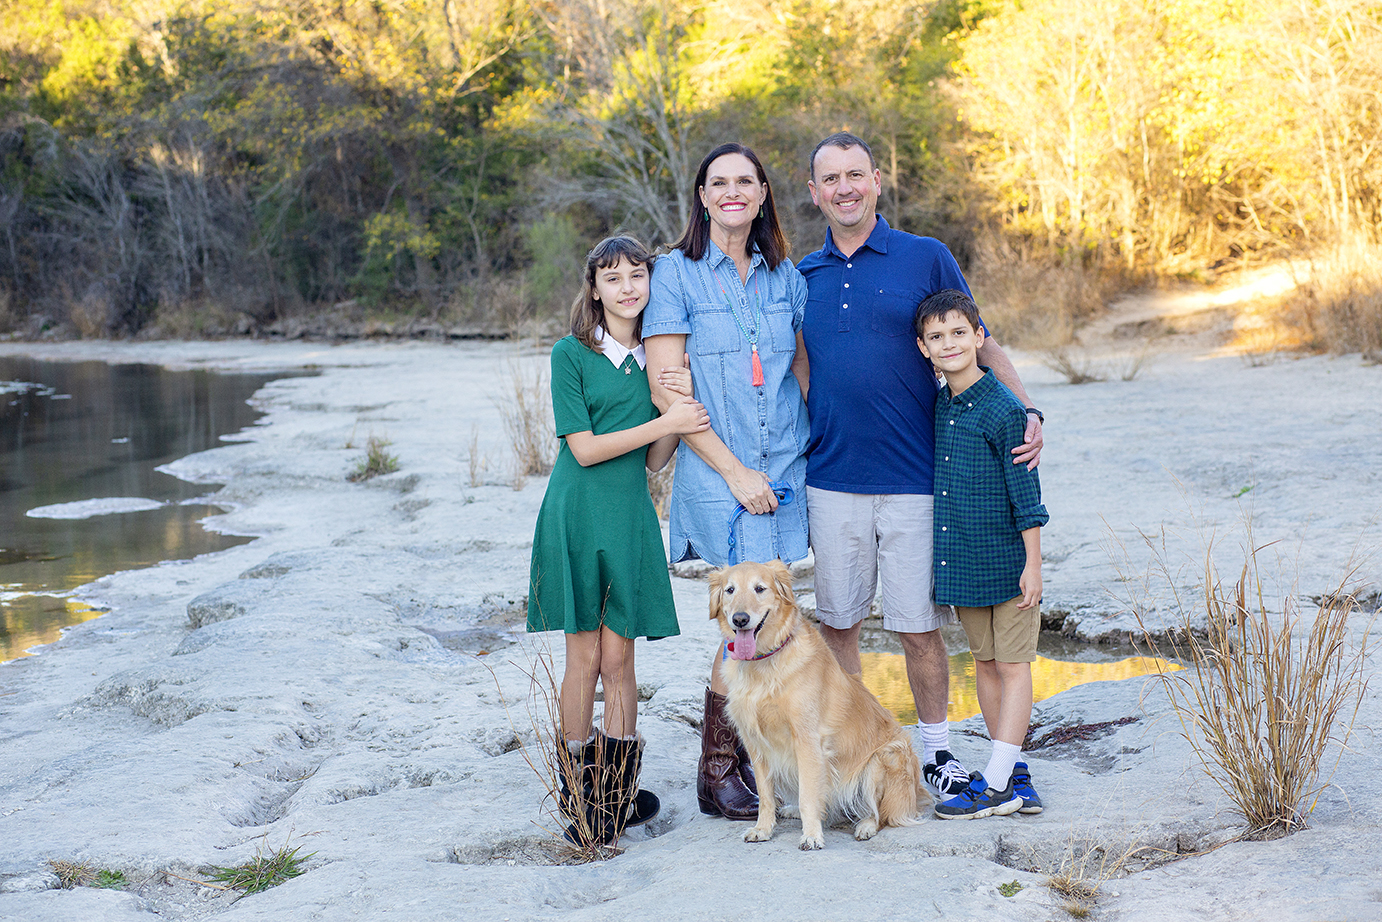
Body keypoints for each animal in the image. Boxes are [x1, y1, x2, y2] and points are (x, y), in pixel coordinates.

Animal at [707, 558, 923, 845]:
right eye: (730, 590)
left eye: (760, 588)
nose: (740, 619)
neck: (765, 660)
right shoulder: (756, 744)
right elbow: (765, 795)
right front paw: (763, 829)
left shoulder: (808, 739)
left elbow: (809, 795)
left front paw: (811, 835)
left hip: (885, 756)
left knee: (880, 813)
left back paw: (865, 825)